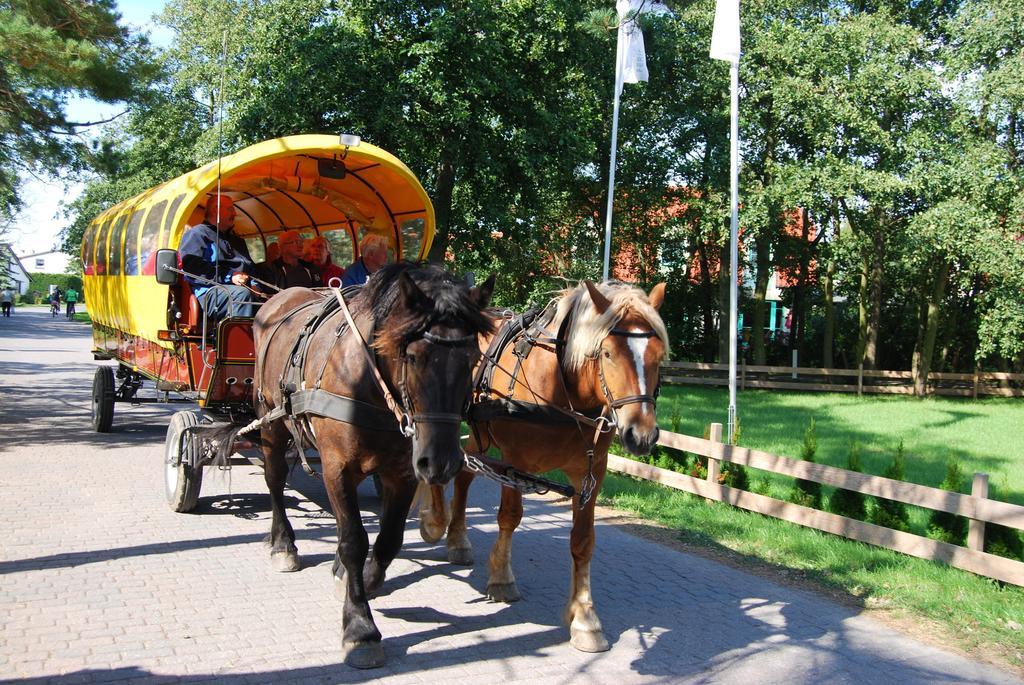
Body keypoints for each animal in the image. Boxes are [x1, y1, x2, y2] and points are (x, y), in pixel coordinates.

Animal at [256, 264, 495, 667]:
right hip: (271, 422)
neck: (367, 383)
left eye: (473, 359)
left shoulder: (403, 473)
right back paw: (282, 543)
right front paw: (359, 626)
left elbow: (389, 540)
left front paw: (365, 580)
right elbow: (353, 539)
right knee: (274, 481)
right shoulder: (336, 468)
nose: (442, 462)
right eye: (412, 356)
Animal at [417, 278, 667, 651]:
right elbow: (509, 517)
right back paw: (433, 519)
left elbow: (583, 541)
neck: (562, 395)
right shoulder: (515, 460)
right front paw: (502, 577)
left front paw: (584, 617)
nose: (641, 435)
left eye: (658, 356)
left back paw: (458, 538)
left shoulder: (592, 473)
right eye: (607, 353)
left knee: (462, 473)